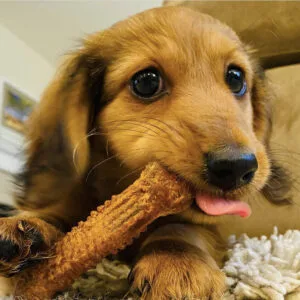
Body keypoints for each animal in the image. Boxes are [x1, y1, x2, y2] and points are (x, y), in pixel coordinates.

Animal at [0, 5, 290, 298]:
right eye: (147, 82)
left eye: (236, 78)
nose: (237, 167)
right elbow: (56, 214)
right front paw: (26, 224)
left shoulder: (210, 228)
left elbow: (181, 227)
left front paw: (177, 261)